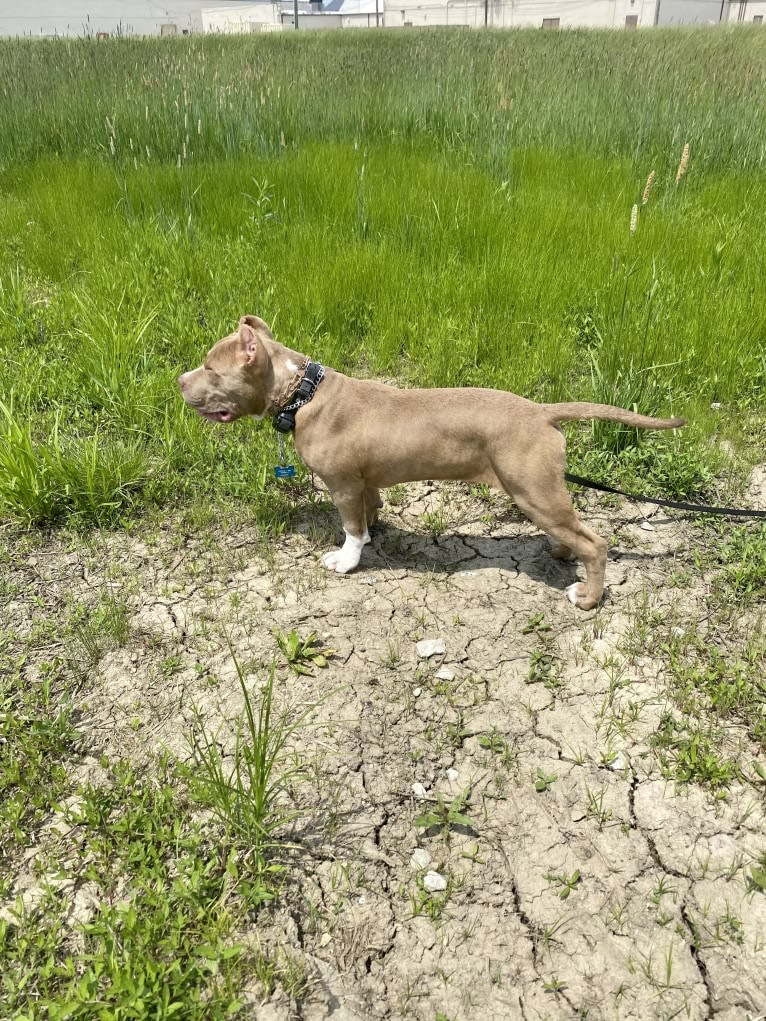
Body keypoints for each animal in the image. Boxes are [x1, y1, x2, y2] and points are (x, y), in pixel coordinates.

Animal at [178, 314, 682, 608]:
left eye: (210, 368)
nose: (179, 380)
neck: (303, 391)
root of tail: (541, 410)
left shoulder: (342, 483)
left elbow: (350, 528)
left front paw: (347, 560)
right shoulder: (363, 480)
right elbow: (370, 511)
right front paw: (372, 530)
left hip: (532, 489)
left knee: (596, 544)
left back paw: (588, 596)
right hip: (541, 492)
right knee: (574, 532)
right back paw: (561, 550)